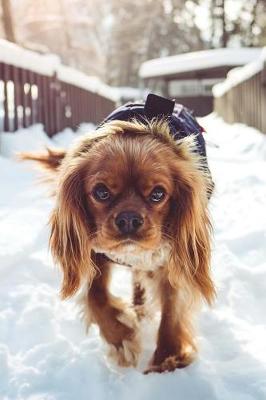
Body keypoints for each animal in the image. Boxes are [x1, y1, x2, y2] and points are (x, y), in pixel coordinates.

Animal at [21, 105, 215, 372]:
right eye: (101, 192)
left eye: (158, 194)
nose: (129, 219)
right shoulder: (98, 257)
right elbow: (95, 297)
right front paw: (122, 339)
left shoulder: (171, 261)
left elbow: (172, 310)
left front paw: (167, 359)